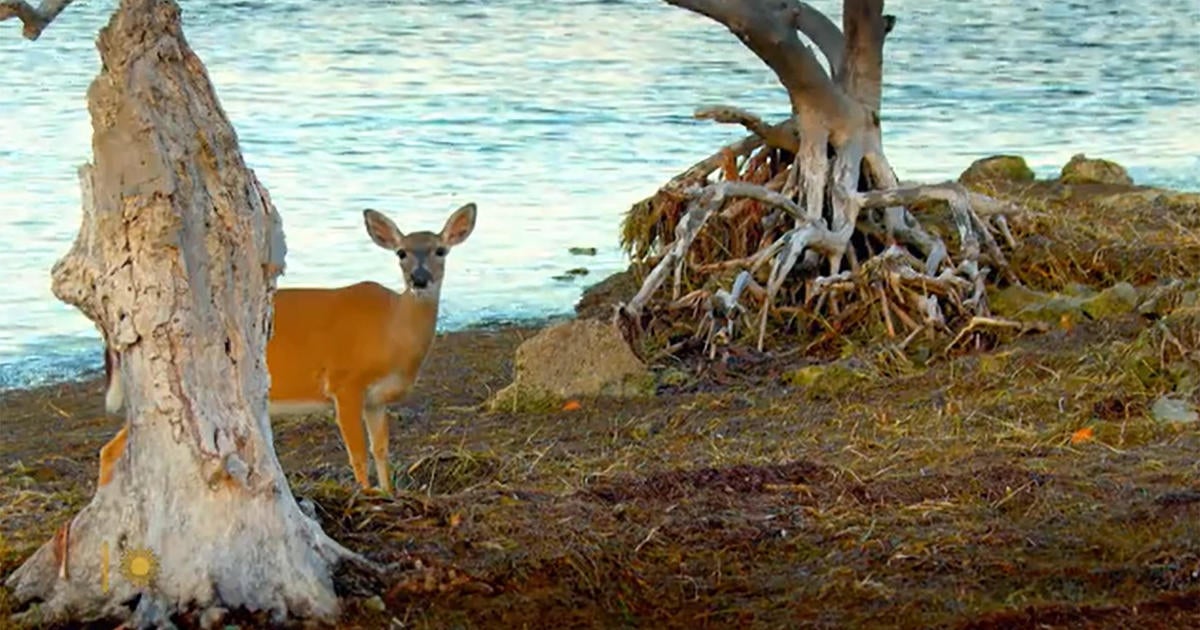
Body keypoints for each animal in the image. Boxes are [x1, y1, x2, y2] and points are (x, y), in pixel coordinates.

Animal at [96, 201, 477, 496]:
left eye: (440, 250)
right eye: (401, 252)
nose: (420, 279)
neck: (391, 332)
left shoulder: (376, 399)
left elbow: (381, 450)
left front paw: (388, 493)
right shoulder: (344, 382)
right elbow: (357, 453)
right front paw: (367, 495)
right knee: (113, 449)